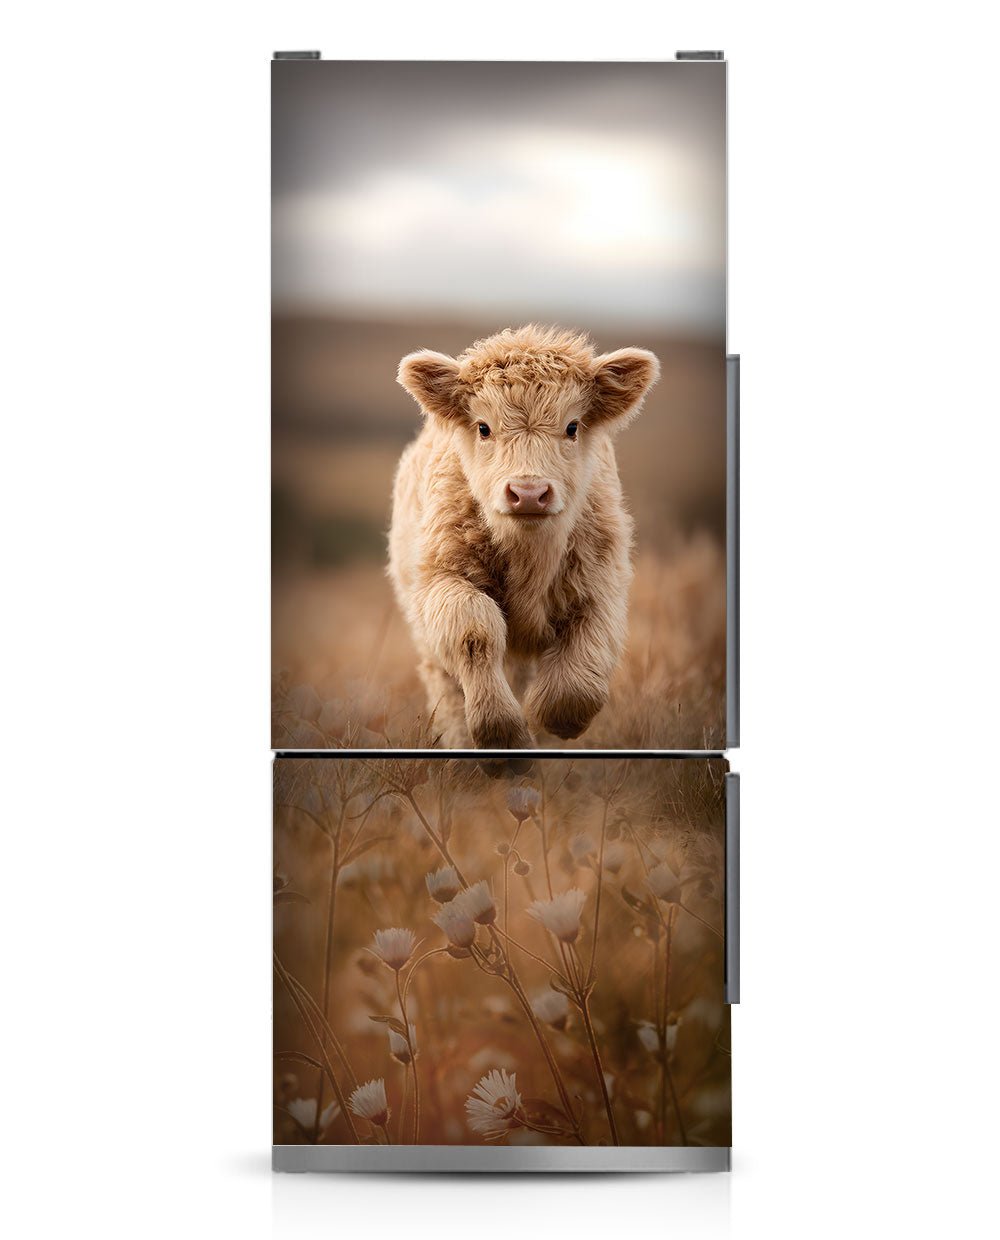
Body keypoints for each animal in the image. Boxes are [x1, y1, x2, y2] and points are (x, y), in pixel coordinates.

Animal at [388, 324, 659, 749]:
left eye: (572, 426)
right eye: (484, 427)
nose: (528, 492)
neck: (529, 556)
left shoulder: (601, 587)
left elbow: (578, 680)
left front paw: (547, 717)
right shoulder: (441, 580)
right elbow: (475, 630)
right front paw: (502, 734)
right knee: (447, 688)